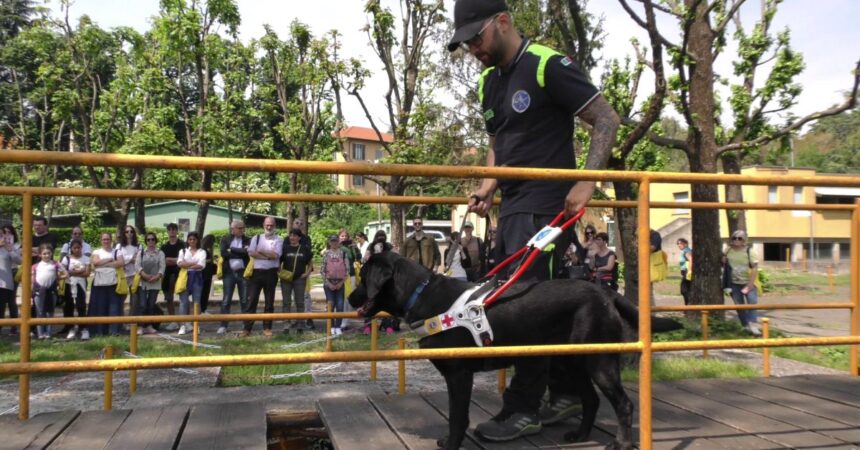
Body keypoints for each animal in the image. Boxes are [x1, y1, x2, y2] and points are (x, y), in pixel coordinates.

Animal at [348, 253, 680, 450]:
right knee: (591, 399)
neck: (423, 295)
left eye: (364, 278)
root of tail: (606, 292)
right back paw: (580, 436)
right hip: (571, 361)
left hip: (599, 361)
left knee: (623, 404)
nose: (351, 299)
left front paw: (451, 443)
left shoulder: (459, 375)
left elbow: (457, 417)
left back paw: (621, 443)